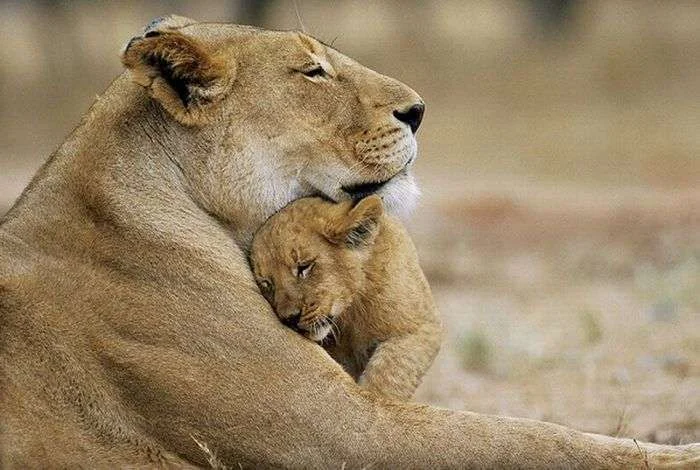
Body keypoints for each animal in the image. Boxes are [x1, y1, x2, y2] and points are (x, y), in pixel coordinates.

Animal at [250, 195, 442, 401]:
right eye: (267, 284)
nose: (290, 319)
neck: (349, 313)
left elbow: (389, 374)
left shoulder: (421, 327)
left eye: (304, 267)